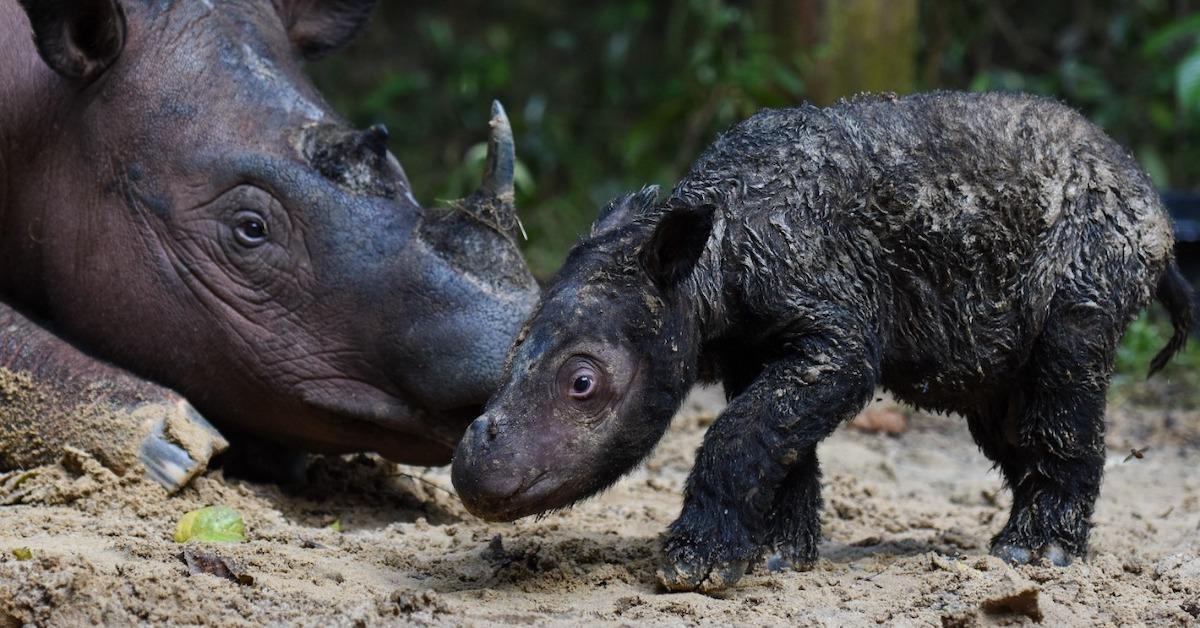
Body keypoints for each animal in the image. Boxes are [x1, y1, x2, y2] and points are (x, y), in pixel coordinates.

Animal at [453, 90, 1195, 593]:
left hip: (1096, 254)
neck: (706, 264)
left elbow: (739, 432)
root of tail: (1156, 208)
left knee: (1064, 372)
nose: (470, 471)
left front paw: (693, 567)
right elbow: (779, 439)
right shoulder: (756, 346)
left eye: (583, 383)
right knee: (1005, 408)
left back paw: (1034, 557)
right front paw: (777, 558)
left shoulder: (836, 333)